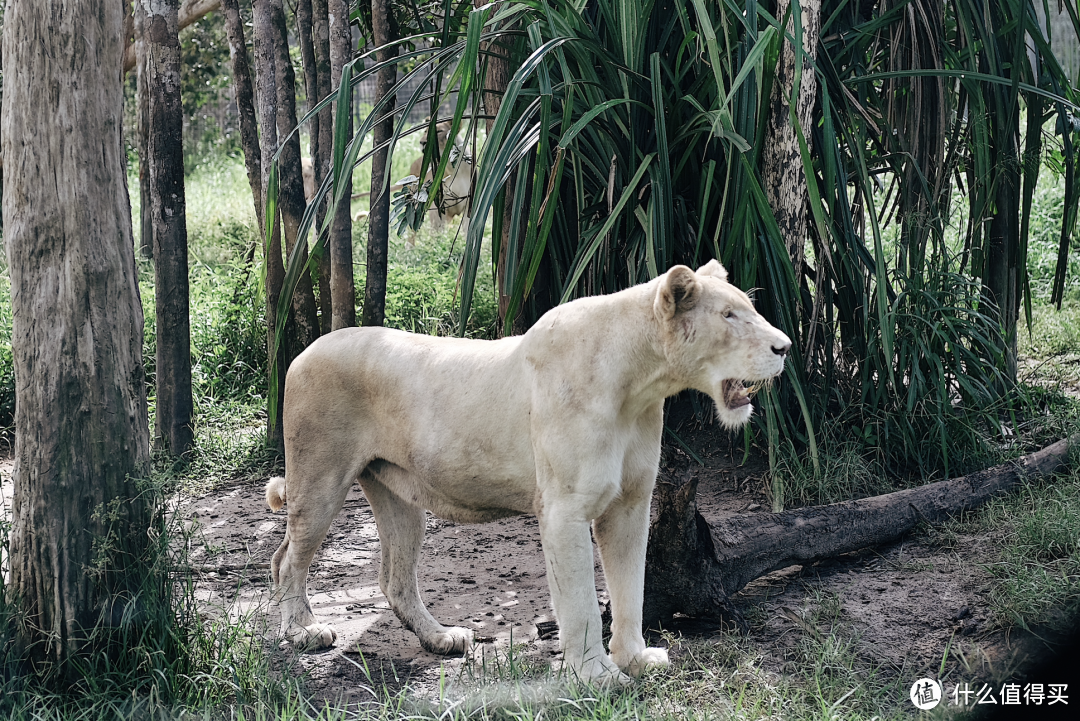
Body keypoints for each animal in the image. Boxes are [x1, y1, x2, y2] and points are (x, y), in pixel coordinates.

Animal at [267, 262, 794, 686]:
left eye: (747, 308)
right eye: (728, 317)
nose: (785, 347)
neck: (640, 385)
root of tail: (303, 352)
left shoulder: (630, 504)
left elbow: (631, 589)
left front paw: (635, 659)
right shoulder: (564, 510)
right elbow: (581, 601)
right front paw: (598, 676)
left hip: (400, 497)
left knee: (394, 578)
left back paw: (441, 638)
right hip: (320, 481)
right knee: (286, 559)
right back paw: (304, 632)